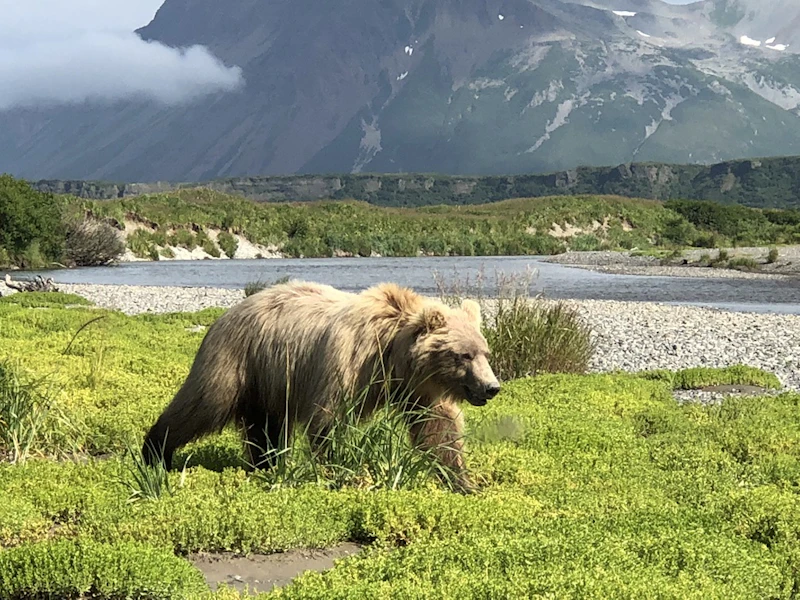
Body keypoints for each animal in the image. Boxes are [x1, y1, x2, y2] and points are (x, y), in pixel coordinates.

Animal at [142, 280, 501, 493]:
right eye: (464, 355)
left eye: (485, 352)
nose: (491, 387)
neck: (390, 353)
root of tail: (226, 314)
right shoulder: (347, 364)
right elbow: (328, 420)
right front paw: (336, 470)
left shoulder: (417, 387)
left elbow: (437, 427)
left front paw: (462, 480)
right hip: (236, 360)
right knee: (203, 403)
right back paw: (156, 451)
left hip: (269, 379)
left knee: (266, 427)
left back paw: (266, 465)